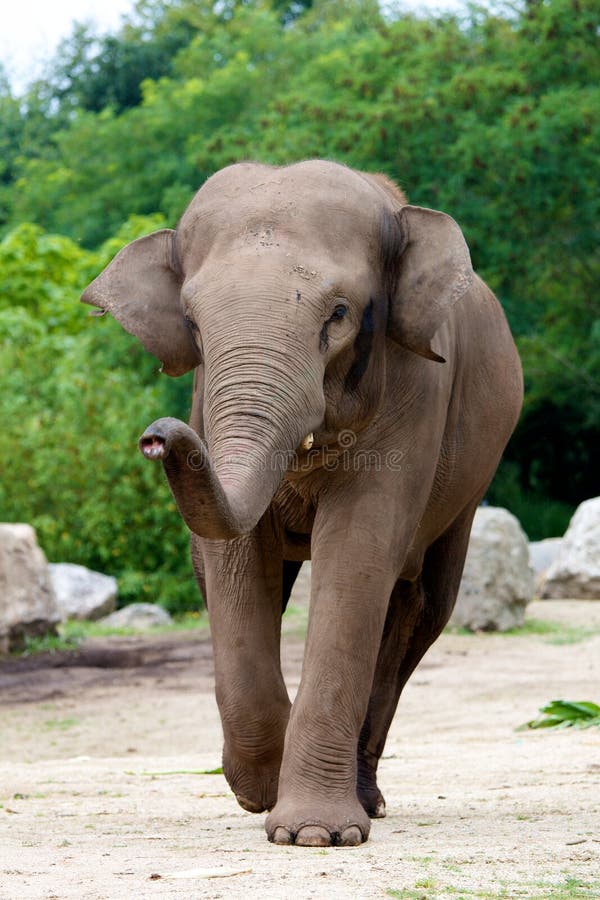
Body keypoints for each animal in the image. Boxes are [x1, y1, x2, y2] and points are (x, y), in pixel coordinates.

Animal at [82, 160, 524, 844]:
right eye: (193, 323)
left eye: (338, 314)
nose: (157, 436)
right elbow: (235, 562)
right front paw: (261, 792)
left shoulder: (416, 391)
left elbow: (357, 552)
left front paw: (313, 834)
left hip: (470, 487)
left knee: (424, 603)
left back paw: (365, 800)